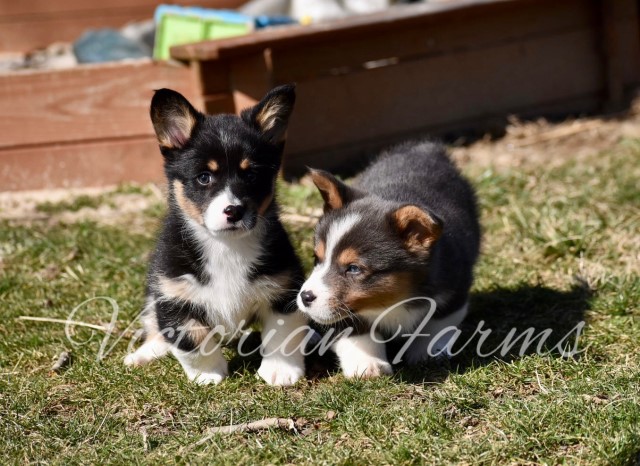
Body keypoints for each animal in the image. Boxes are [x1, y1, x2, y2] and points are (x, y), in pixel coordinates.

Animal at [125, 83, 310, 386]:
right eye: (204, 177)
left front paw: (280, 372)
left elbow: (282, 334)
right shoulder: (173, 294)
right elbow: (192, 338)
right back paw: (144, 354)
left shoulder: (283, 287)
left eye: (251, 175)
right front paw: (208, 375)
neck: (226, 246)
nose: (234, 211)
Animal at [298, 141, 478, 378]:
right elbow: (355, 330)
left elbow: (438, 324)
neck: (392, 299)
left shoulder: (454, 287)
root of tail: (425, 148)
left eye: (353, 268)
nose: (305, 297)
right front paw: (367, 364)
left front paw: (426, 354)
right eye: (316, 258)